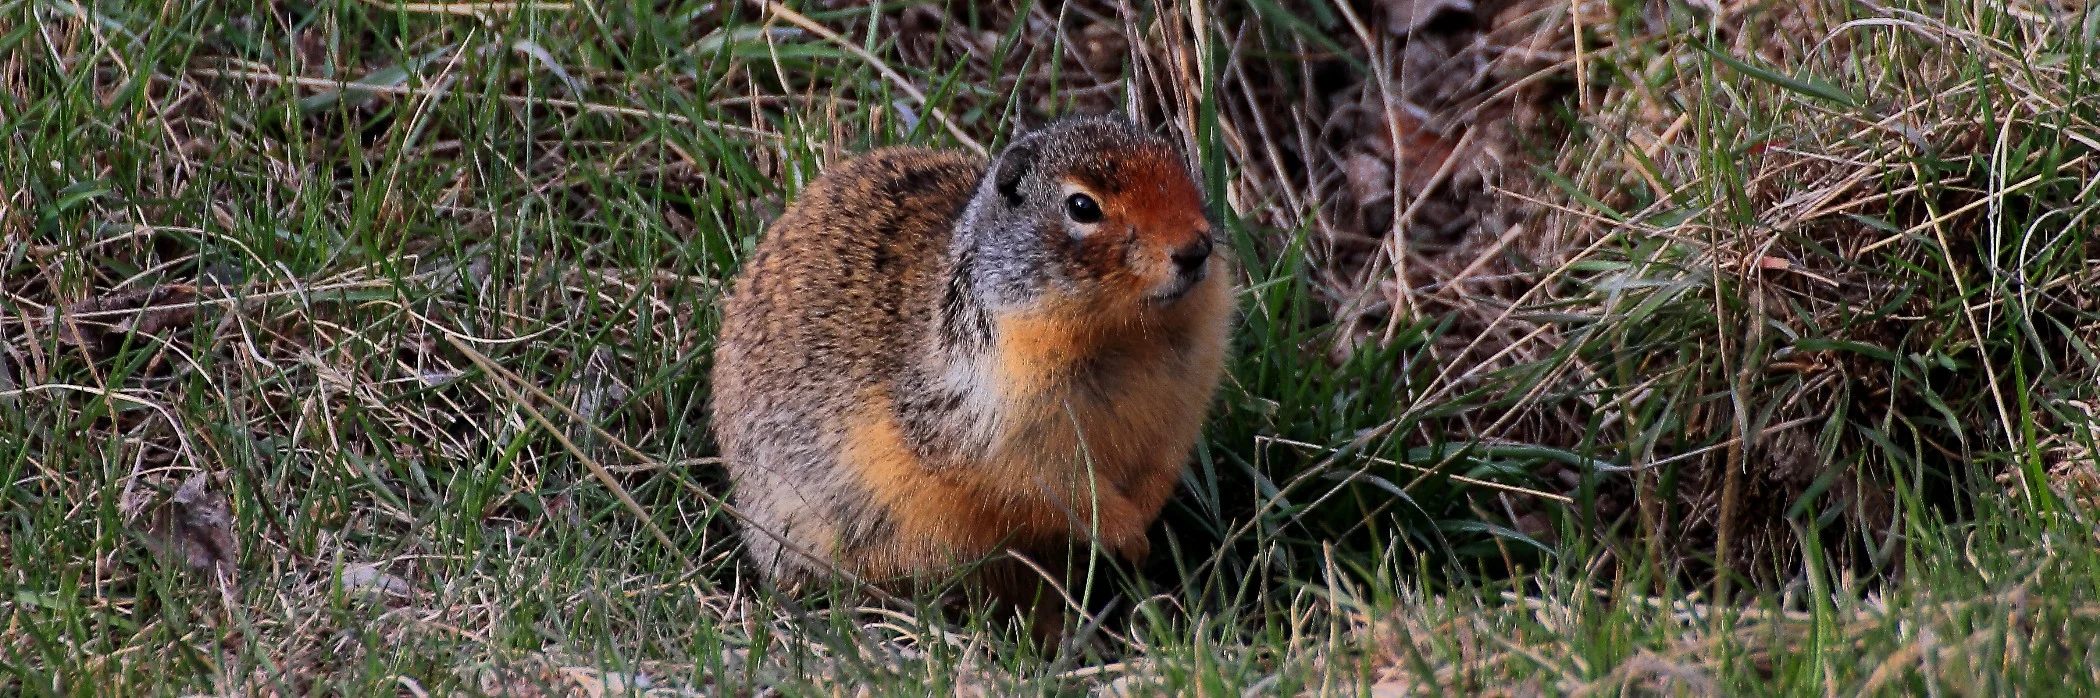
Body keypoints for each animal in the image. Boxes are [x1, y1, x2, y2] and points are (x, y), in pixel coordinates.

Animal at [710, 116, 1233, 631]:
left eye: (1182, 169)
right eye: (1082, 206)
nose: (1196, 249)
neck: (1129, 339)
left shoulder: (1185, 400)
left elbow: (1161, 464)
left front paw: (1142, 528)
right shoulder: (996, 424)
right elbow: (1053, 487)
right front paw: (1126, 533)